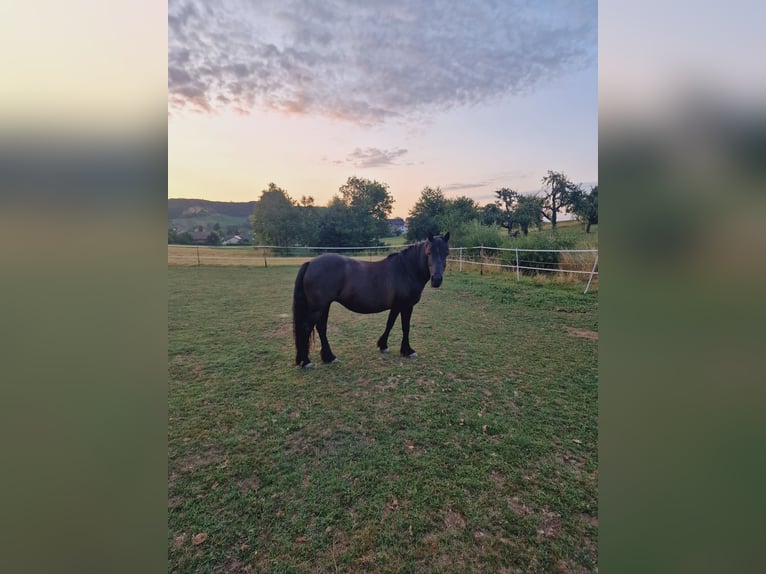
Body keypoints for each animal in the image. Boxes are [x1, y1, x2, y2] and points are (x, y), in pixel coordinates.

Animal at [292, 233, 450, 368]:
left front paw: (383, 345)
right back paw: (306, 361)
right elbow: (406, 327)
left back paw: (329, 357)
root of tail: (310, 263)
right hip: (318, 308)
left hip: (324, 306)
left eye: (446, 253)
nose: (436, 280)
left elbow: (390, 323)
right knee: (306, 328)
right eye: (429, 253)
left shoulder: (396, 306)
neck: (406, 270)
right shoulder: (406, 306)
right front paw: (408, 350)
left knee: (321, 328)